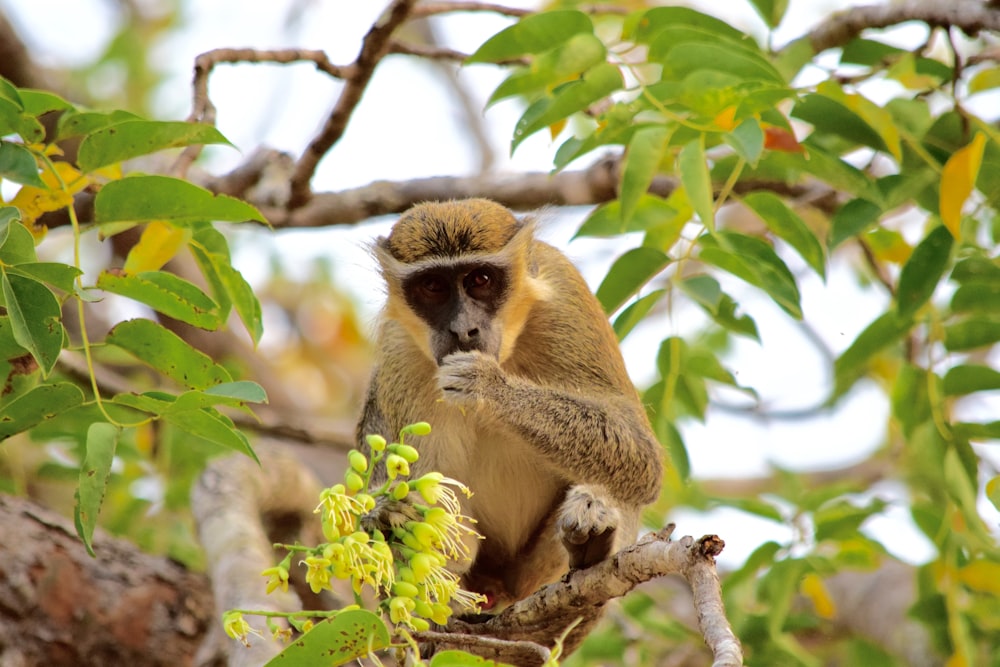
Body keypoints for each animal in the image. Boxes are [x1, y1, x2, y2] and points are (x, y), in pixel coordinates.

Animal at [360, 200, 664, 616]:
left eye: (481, 279)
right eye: (433, 286)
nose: (463, 330)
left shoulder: (567, 298)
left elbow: (642, 459)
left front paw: (489, 387)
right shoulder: (399, 351)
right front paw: (386, 514)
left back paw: (592, 545)